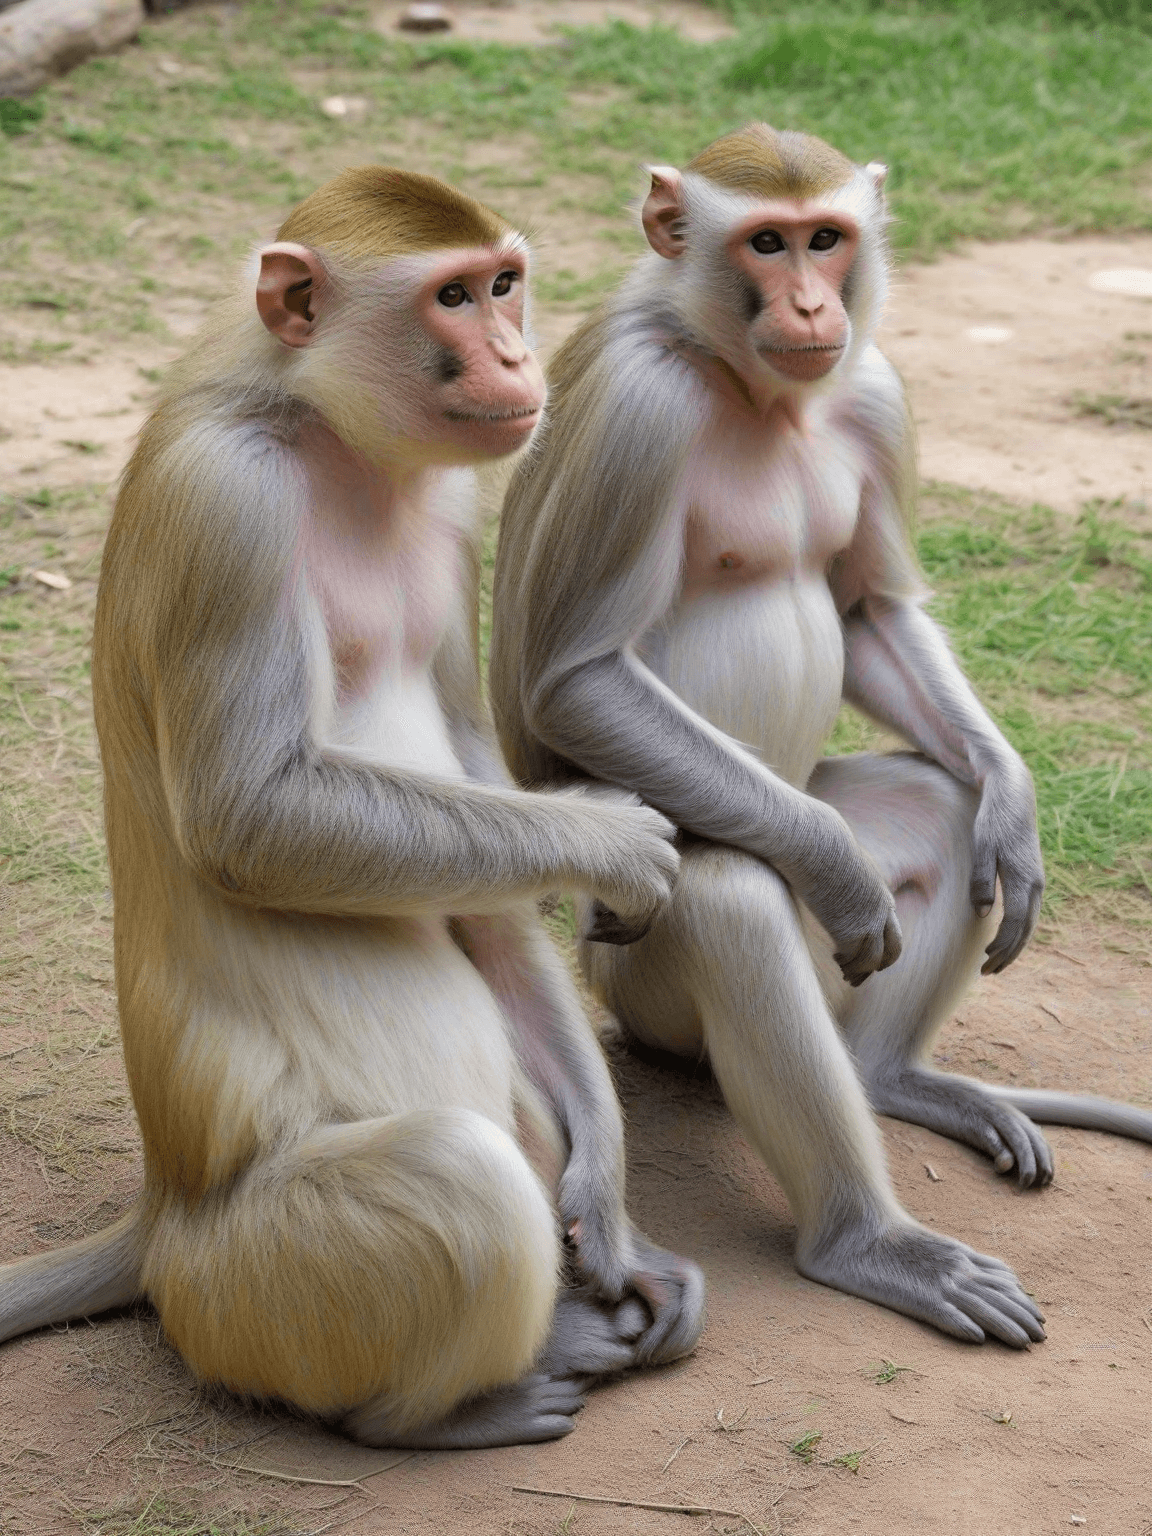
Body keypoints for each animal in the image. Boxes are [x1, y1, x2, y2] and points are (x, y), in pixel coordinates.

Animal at [0, 167, 707, 1448]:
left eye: (505, 283)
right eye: (453, 298)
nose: (516, 354)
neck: (324, 435)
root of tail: (164, 1220)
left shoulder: (461, 514)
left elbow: (485, 863)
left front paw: (615, 1211)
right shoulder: (226, 503)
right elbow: (250, 820)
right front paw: (616, 840)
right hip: (263, 1286)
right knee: (453, 1173)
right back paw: (451, 1408)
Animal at [490, 124, 1152, 1349]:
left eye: (827, 239)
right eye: (767, 242)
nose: (810, 304)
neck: (749, 384)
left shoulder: (876, 389)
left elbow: (870, 611)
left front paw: (1013, 800)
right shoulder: (641, 408)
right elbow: (572, 684)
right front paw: (838, 871)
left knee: (938, 813)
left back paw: (892, 1077)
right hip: (635, 980)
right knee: (733, 899)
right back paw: (866, 1241)